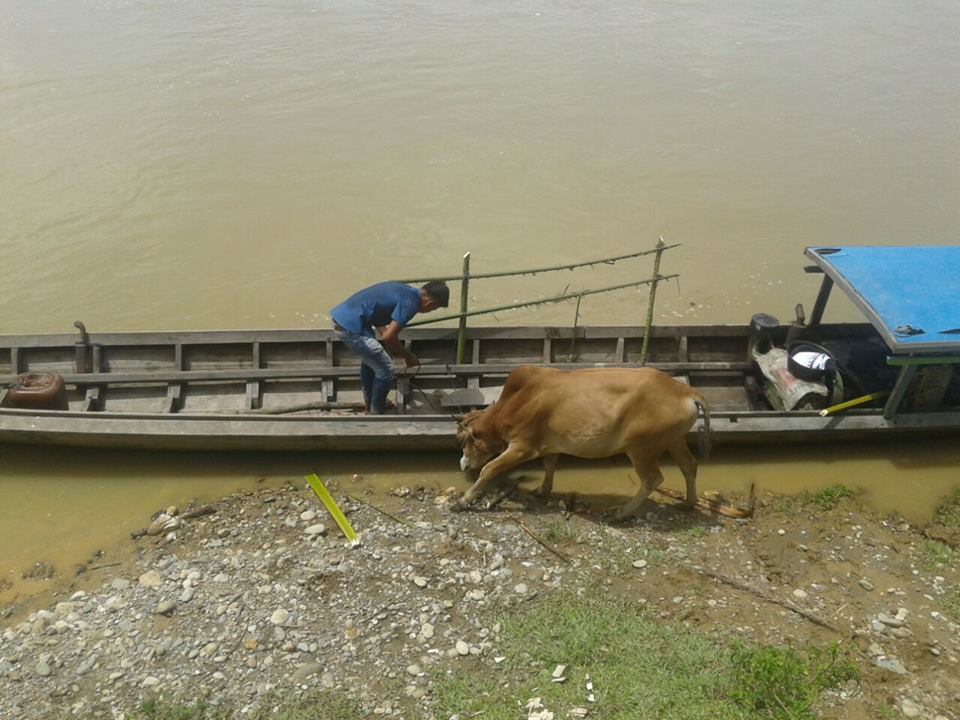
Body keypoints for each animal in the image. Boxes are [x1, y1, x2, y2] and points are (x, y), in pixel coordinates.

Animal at [454, 366, 708, 516]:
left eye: (464, 441)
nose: (462, 464)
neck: (516, 401)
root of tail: (685, 391)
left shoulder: (522, 447)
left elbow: (489, 469)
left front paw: (464, 500)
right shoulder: (550, 446)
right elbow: (549, 466)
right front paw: (543, 490)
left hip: (641, 447)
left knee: (652, 479)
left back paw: (623, 513)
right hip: (674, 439)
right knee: (689, 466)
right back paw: (688, 503)